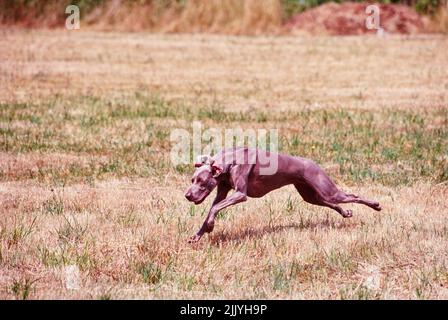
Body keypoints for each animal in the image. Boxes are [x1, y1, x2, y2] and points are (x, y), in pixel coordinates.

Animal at [184, 148, 380, 242]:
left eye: (201, 181)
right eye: (193, 179)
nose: (187, 196)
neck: (231, 159)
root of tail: (313, 163)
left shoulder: (240, 194)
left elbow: (215, 208)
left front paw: (210, 227)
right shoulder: (222, 191)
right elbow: (213, 209)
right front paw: (198, 234)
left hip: (327, 190)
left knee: (353, 195)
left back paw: (376, 205)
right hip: (311, 195)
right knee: (331, 203)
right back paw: (346, 213)